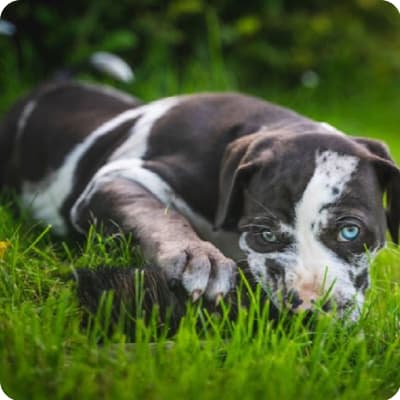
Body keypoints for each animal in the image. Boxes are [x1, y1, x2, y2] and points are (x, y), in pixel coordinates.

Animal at [0, 79, 398, 320]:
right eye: (265, 235)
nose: (310, 308)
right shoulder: (114, 178)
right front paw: (197, 256)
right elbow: (156, 212)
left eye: (350, 231)